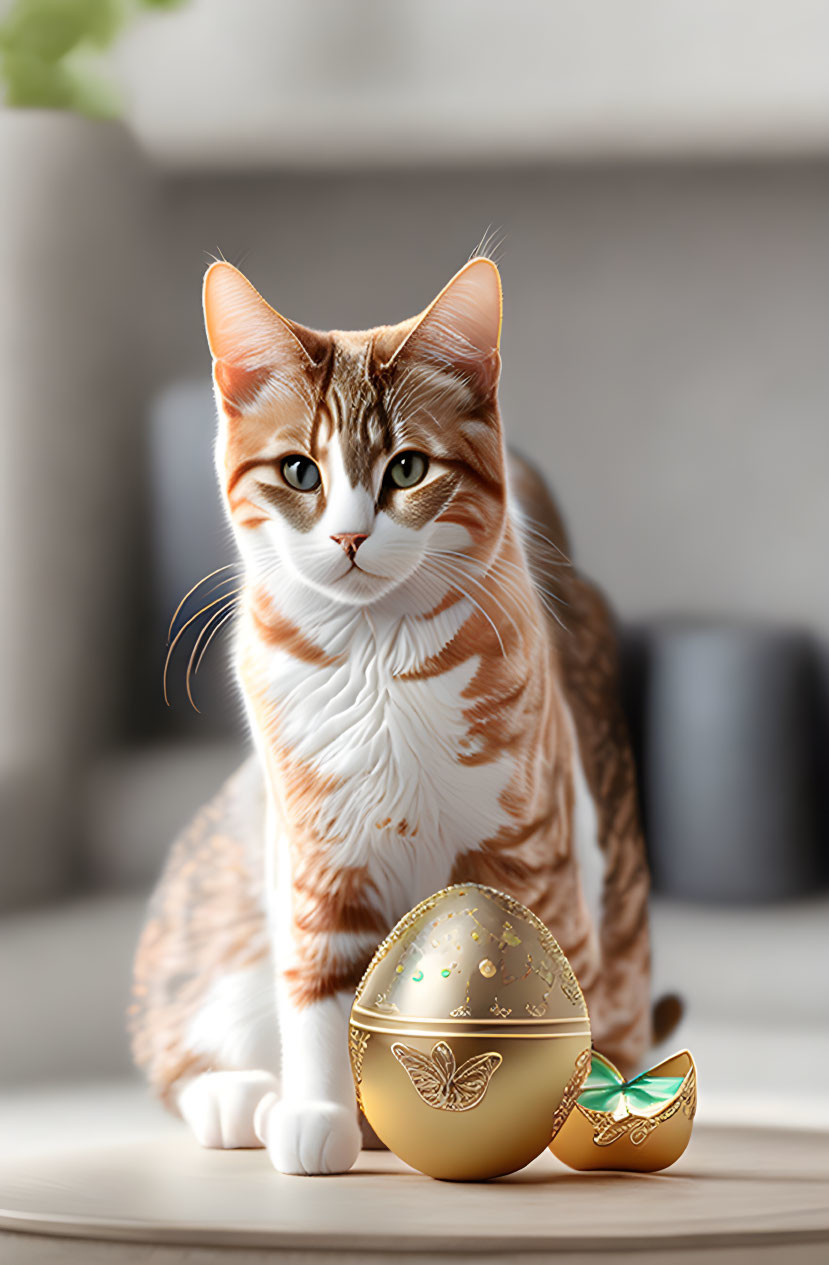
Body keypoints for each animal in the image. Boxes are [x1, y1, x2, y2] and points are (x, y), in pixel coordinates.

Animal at [131, 256, 673, 1173]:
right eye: (300, 472)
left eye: (408, 469)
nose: (350, 537)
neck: (377, 659)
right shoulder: (316, 847)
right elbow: (318, 982)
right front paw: (318, 1113)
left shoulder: (534, 843)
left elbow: (545, 978)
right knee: (177, 1032)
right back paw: (241, 1098)